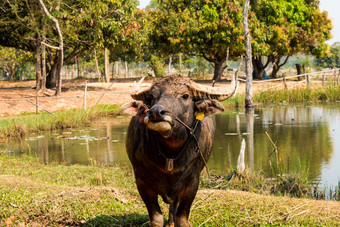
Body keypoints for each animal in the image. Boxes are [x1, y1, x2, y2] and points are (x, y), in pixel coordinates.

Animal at [121, 75, 236, 226]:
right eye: (152, 96)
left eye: (185, 95)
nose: (156, 112)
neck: (170, 156)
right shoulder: (142, 182)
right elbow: (156, 218)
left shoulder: (192, 184)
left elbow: (182, 218)